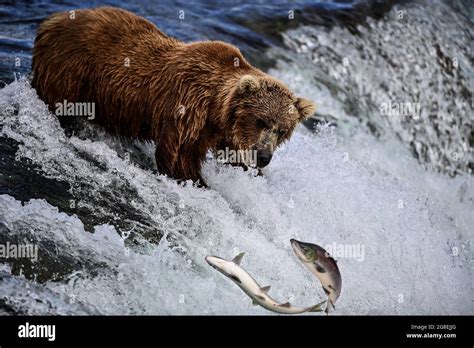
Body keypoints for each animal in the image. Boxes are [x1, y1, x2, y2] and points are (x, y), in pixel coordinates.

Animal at [32, 6, 314, 185]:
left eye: (282, 130)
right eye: (260, 121)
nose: (264, 157)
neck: (215, 109)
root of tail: (51, 20)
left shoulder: (223, 132)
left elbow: (232, 156)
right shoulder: (186, 109)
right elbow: (177, 156)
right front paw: (197, 181)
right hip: (69, 69)